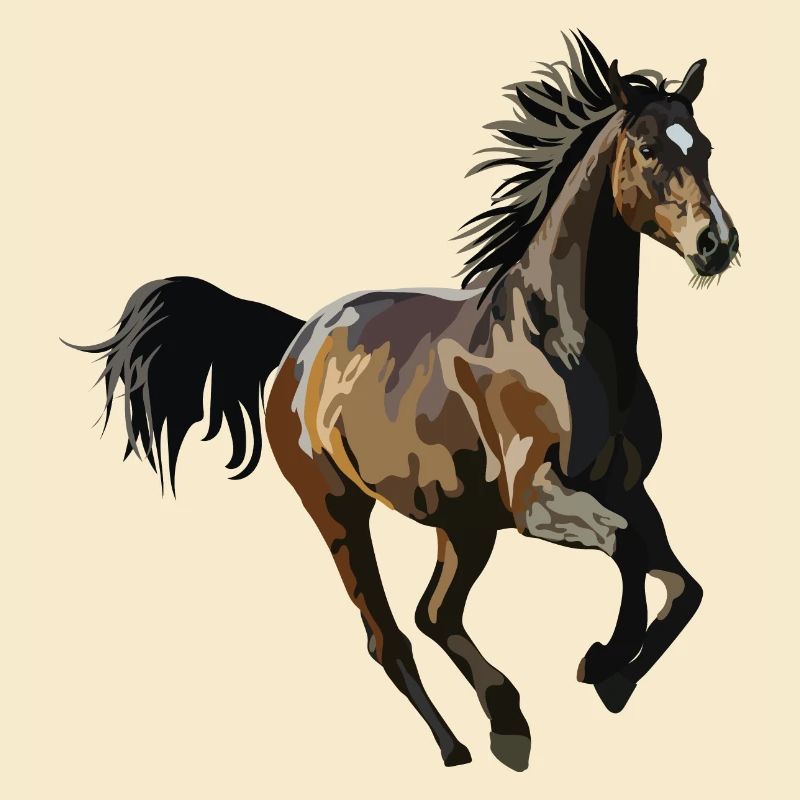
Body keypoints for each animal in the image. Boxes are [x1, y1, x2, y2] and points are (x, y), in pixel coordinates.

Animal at [65, 32, 739, 771]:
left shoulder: (626, 487)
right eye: (647, 148)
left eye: (704, 146)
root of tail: (297, 341)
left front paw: (614, 675)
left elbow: (681, 583)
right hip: (339, 511)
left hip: (462, 522)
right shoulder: (537, 500)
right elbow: (625, 550)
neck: (564, 341)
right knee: (390, 635)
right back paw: (458, 746)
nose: (717, 243)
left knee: (434, 614)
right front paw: (604, 661)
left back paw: (507, 723)